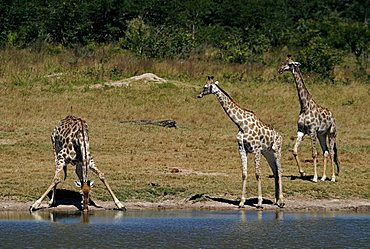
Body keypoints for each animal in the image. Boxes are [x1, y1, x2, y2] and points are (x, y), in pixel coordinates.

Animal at [198, 76, 284, 208]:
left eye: (205, 87)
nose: (199, 95)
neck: (241, 124)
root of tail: (281, 137)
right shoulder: (242, 149)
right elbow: (244, 174)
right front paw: (242, 202)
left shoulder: (256, 149)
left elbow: (258, 174)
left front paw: (259, 202)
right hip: (267, 153)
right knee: (274, 171)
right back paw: (276, 200)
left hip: (276, 151)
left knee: (279, 171)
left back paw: (282, 201)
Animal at [278, 55, 340, 183]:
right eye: (284, 62)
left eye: (290, 64)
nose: (280, 69)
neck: (305, 106)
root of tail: (333, 117)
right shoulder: (301, 131)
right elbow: (294, 150)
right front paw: (302, 172)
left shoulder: (312, 131)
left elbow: (314, 154)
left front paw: (315, 177)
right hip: (322, 134)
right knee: (325, 151)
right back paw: (324, 177)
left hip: (332, 133)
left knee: (331, 152)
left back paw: (332, 177)